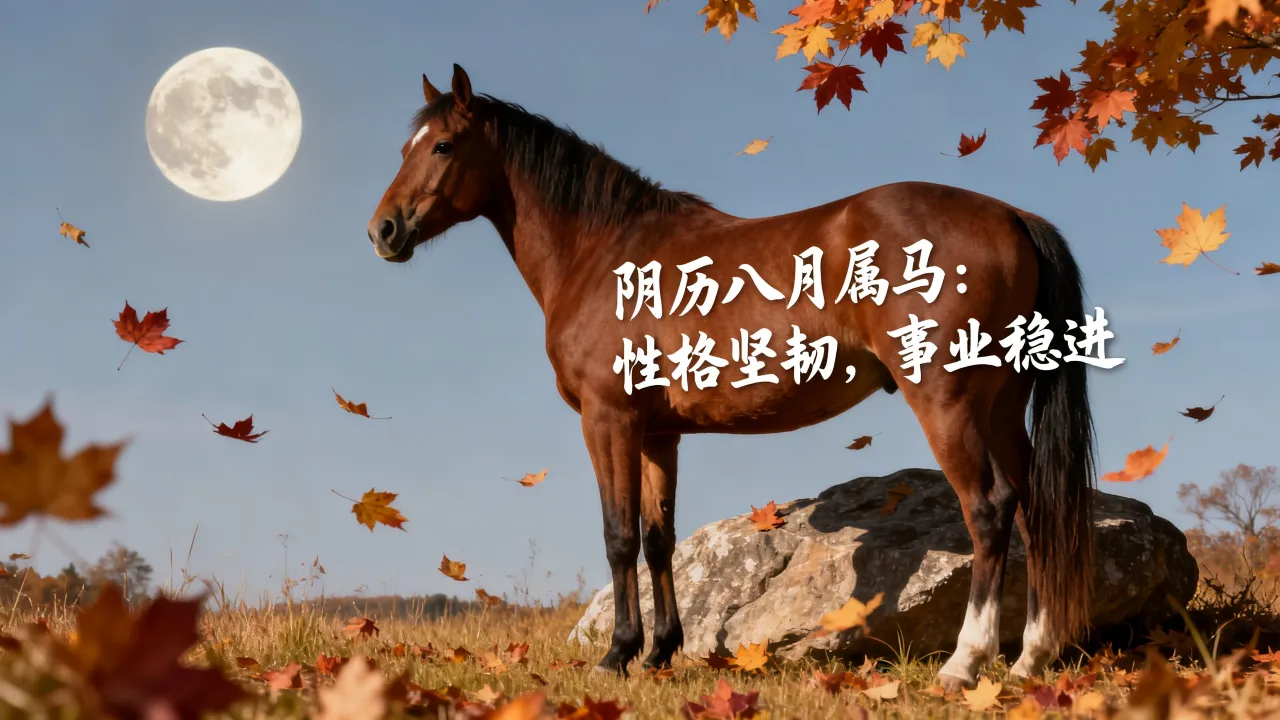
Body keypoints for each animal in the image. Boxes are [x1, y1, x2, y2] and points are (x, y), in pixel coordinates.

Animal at [366, 63, 1100, 690]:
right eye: (404, 145)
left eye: (444, 146)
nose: (383, 230)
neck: (604, 250)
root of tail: (1010, 216)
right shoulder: (658, 434)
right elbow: (659, 539)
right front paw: (660, 652)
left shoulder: (608, 419)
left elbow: (618, 536)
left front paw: (617, 655)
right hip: (1002, 407)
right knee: (1035, 510)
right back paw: (1029, 659)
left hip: (946, 401)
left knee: (990, 510)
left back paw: (964, 663)